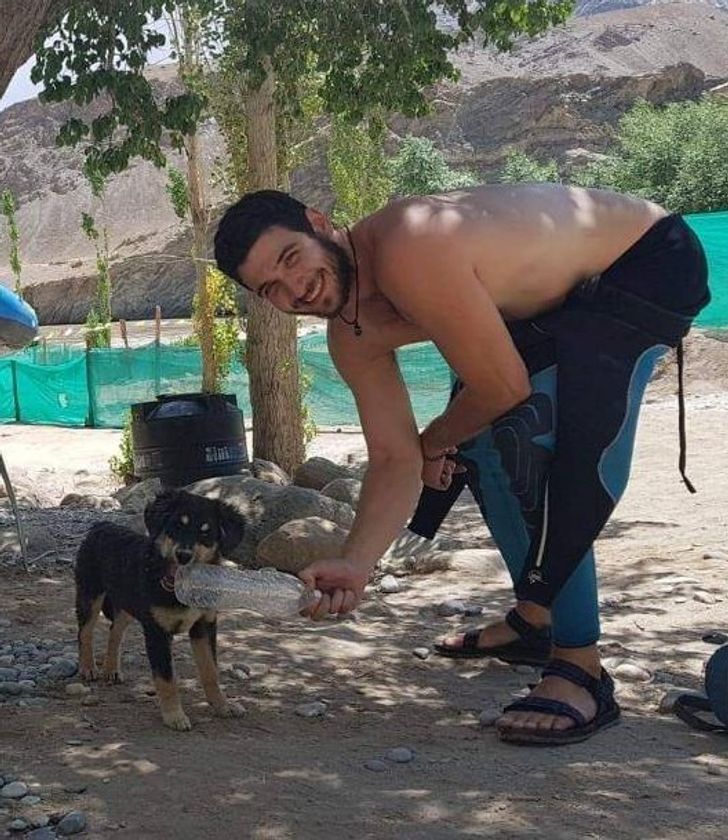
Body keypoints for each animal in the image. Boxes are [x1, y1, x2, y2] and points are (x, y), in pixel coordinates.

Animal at [74, 489, 247, 731]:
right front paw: (174, 716)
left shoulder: (204, 625)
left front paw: (223, 706)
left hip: (127, 605)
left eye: (206, 532)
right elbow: (166, 680)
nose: (183, 555)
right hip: (90, 596)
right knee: (85, 633)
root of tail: (100, 525)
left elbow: (211, 671)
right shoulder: (157, 631)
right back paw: (88, 668)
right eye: (176, 526)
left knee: (115, 632)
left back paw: (112, 670)